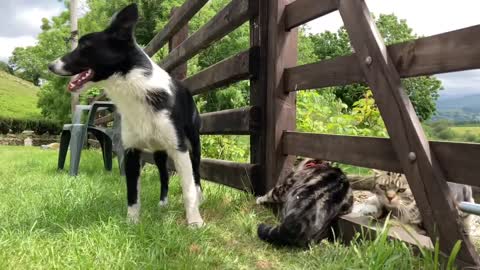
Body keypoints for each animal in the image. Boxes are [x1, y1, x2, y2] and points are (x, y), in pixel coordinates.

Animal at [48, 4, 204, 227]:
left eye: (84, 46)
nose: (50, 66)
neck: (135, 87)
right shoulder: (131, 150)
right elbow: (132, 193)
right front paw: (132, 223)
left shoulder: (179, 148)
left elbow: (188, 189)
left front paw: (194, 221)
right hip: (158, 152)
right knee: (164, 175)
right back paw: (163, 203)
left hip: (194, 143)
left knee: (196, 174)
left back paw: (199, 199)